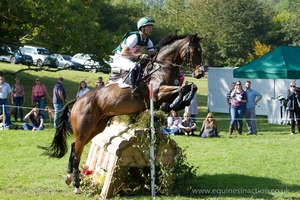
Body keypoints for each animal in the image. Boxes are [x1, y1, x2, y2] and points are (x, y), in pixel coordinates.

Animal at [39, 33, 204, 193]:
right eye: (194, 51)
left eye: (200, 51)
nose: (200, 73)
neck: (163, 67)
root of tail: (78, 100)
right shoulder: (157, 92)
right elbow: (182, 88)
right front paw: (176, 103)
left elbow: (191, 87)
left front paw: (180, 103)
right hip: (83, 128)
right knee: (76, 153)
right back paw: (76, 185)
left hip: (96, 127)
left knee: (74, 147)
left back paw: (69, 177)